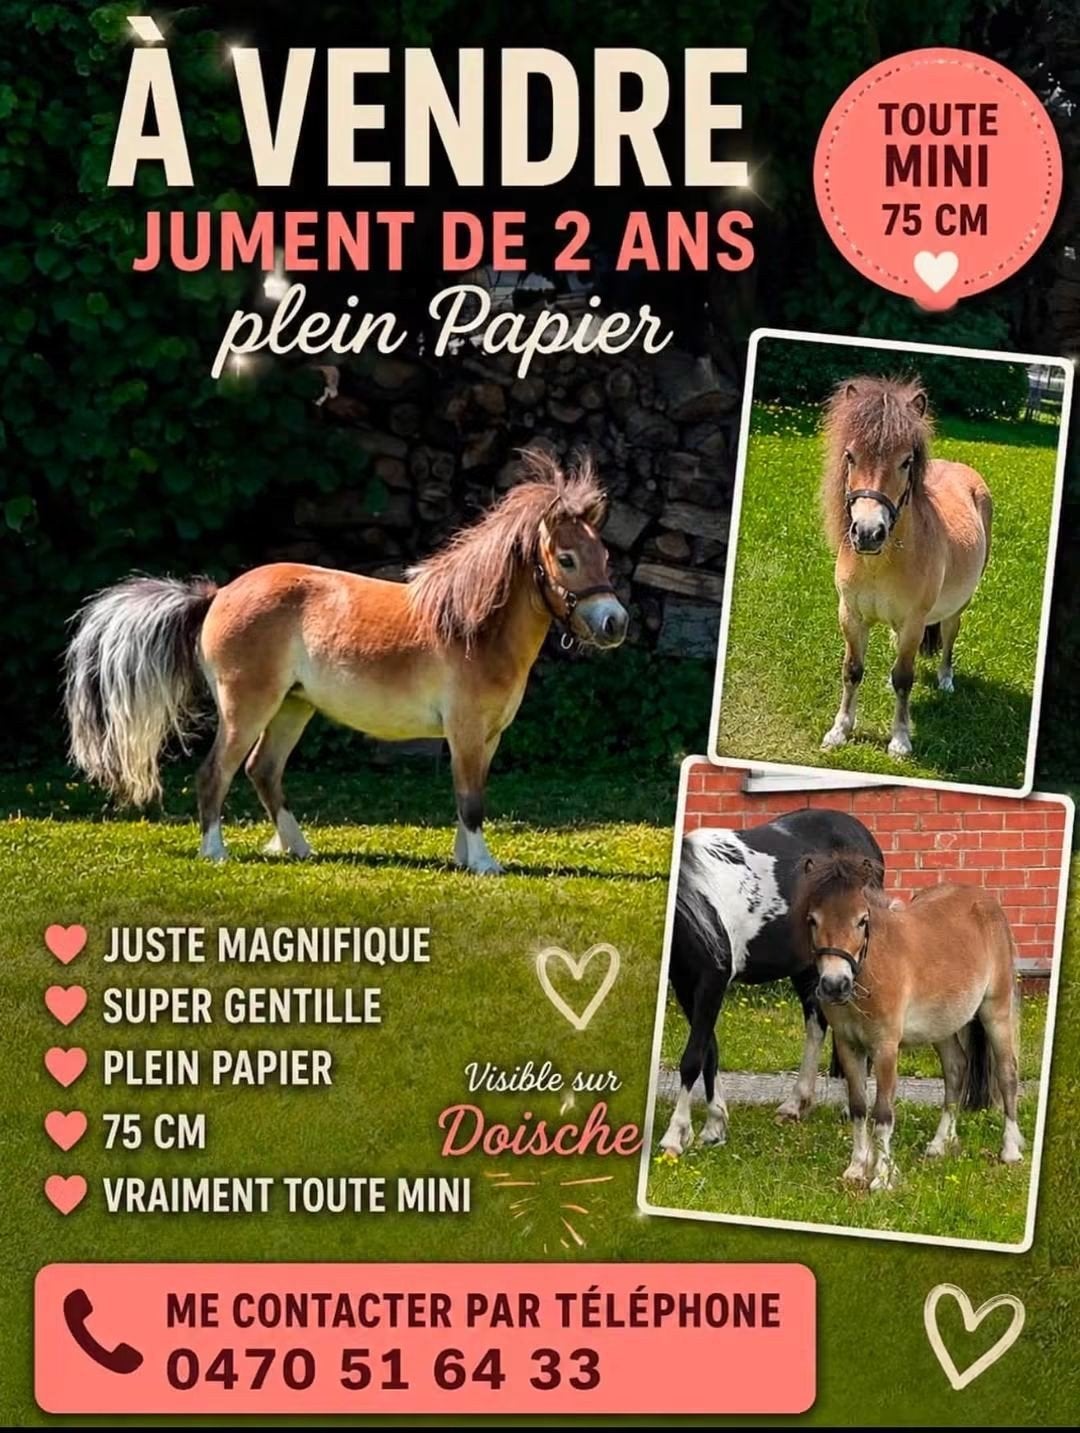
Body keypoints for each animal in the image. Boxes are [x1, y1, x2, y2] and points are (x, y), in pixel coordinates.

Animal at [63, 452, 628, 872]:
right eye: (566, 559)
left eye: (604, 556)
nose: (614, 623)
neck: (471, 626)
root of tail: (217, 593)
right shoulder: (466, 731)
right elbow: (471, 799)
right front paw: (485, 865)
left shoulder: (487, 737)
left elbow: (469, 795)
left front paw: (465, 859)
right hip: (247, 708)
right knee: (215, 772)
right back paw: (216, 853)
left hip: (293, 708)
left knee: (263, 770)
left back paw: (298, 848)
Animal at [657, 807, 884, 1158]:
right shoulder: (684, 982)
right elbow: (710, 1049)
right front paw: (714, 1126)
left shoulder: (712, 980)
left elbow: (693, 1057)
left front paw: (674, 1136)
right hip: (809, 967)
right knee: (816, 1024)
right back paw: (794, 1106)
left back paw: (849, 1107)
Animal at [794, 851, 1023, 1191]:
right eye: (812, 920)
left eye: (862, 920)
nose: (835, 985)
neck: (872, 969)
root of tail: (984, 901)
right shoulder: (849, 1045)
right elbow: (859, 1107)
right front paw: (856, 1168)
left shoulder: (886, 1048)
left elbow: (883, 1113)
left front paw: (882, 1177)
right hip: (943, 1025)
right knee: (956, 1069)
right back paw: (939, 1145)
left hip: (996, 1012)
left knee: (1007, 1073)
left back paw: (1010, 1150)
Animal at [819, 376, 992, 759]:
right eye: (850, 456)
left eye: (906, 461)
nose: (868, 533)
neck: (880, 563)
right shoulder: (850, 616)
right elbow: (852, 670)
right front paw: (839, 731)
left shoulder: (914, 621)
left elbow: (905, 678)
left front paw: (899, 740)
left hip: (957, 607)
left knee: (949, 636)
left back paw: (946, 680)